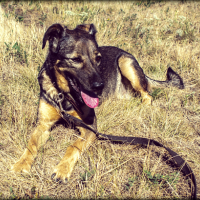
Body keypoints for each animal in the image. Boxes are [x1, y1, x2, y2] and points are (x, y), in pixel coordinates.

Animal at [11, 23, 184, 183]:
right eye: (75, 59)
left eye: (98, 58)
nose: (100, 86)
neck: (65, 96)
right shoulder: (43, 124)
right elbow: (31, 144)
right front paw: (21, 164)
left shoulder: (90, 127)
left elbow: (73, 146)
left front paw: (62, 169)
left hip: (125, 63)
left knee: (147, 95)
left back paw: (140, 107)